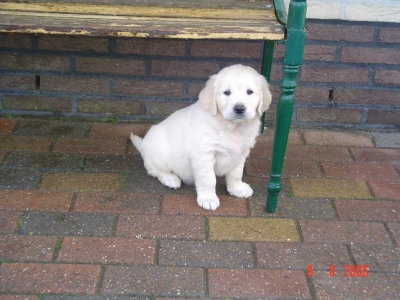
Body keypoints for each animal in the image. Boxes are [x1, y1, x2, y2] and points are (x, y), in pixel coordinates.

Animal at [131, 65, 272, 211]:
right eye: (226, 92)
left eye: (250, 92)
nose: (239, 109)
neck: (232, 128)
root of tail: (143, 144)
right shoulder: (204, 155)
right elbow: (208, 180)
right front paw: (208, 199)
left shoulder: (241, 153)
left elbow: (236, 174)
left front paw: (237, 189)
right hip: (160, 154)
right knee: (152, 169)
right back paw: (170, 179)